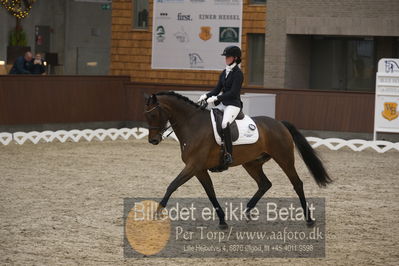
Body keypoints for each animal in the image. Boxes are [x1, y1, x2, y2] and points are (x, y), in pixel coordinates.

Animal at [144, 91, 332, 229]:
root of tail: (279, 123)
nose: (153, 140)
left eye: (153, 115)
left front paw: (157, 213)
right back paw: (247, 211)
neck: (193, 125)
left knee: (297, 183)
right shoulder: (199, 169)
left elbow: (172, 185)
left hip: (284, 158)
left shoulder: (193, 166)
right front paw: (222, 221)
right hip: (251, 163)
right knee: (265, 184)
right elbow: (210, 193)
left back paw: (309, 220)